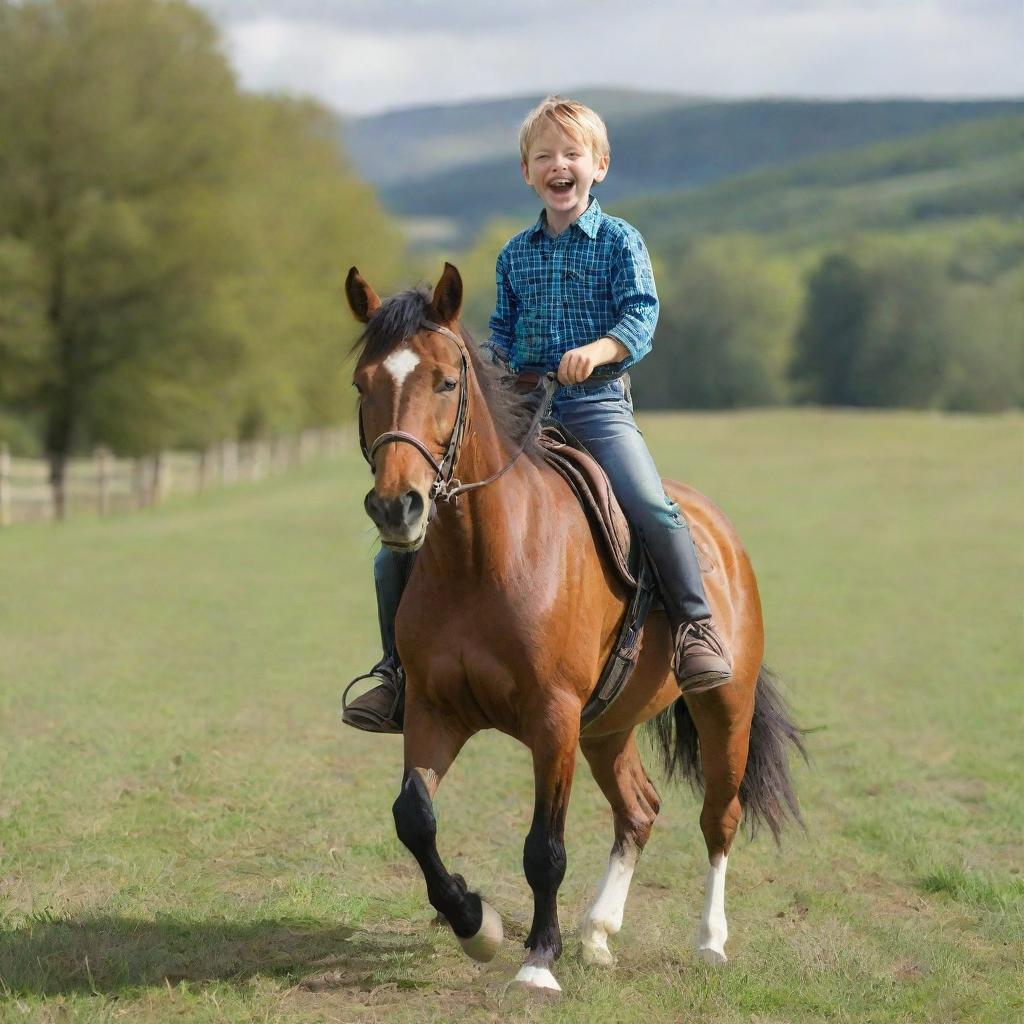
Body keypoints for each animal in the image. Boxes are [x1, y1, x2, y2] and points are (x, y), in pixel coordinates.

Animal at [339, 262, 802, 991]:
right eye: (363, 384)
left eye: (446, 381)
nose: (396, 507)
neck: (483, 557)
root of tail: (719, 533)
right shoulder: (433, 712)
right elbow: (413, 819)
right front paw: (474, 922)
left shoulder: (552, 720)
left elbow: (544, 849)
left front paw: (536, 961)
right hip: (607, 727)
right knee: (639, 809)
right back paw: (598, 931)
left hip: (725, 707)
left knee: (718, 817)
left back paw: (709, 940)